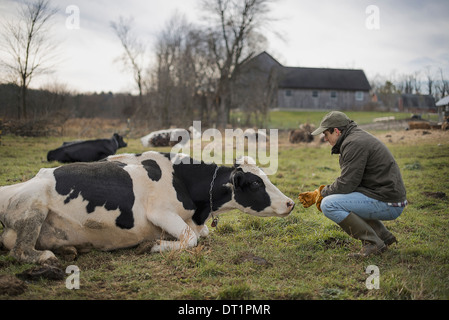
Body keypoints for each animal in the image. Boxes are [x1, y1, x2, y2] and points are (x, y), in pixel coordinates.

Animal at [0, 153, 294, 264]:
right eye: (255, 183)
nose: (290, 203)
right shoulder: (160, 212)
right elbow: (192, 239)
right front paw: (151, 246)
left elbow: (202, 234)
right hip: (32, 205)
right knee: (20, 250)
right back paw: (47, 257)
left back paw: (70, 249)